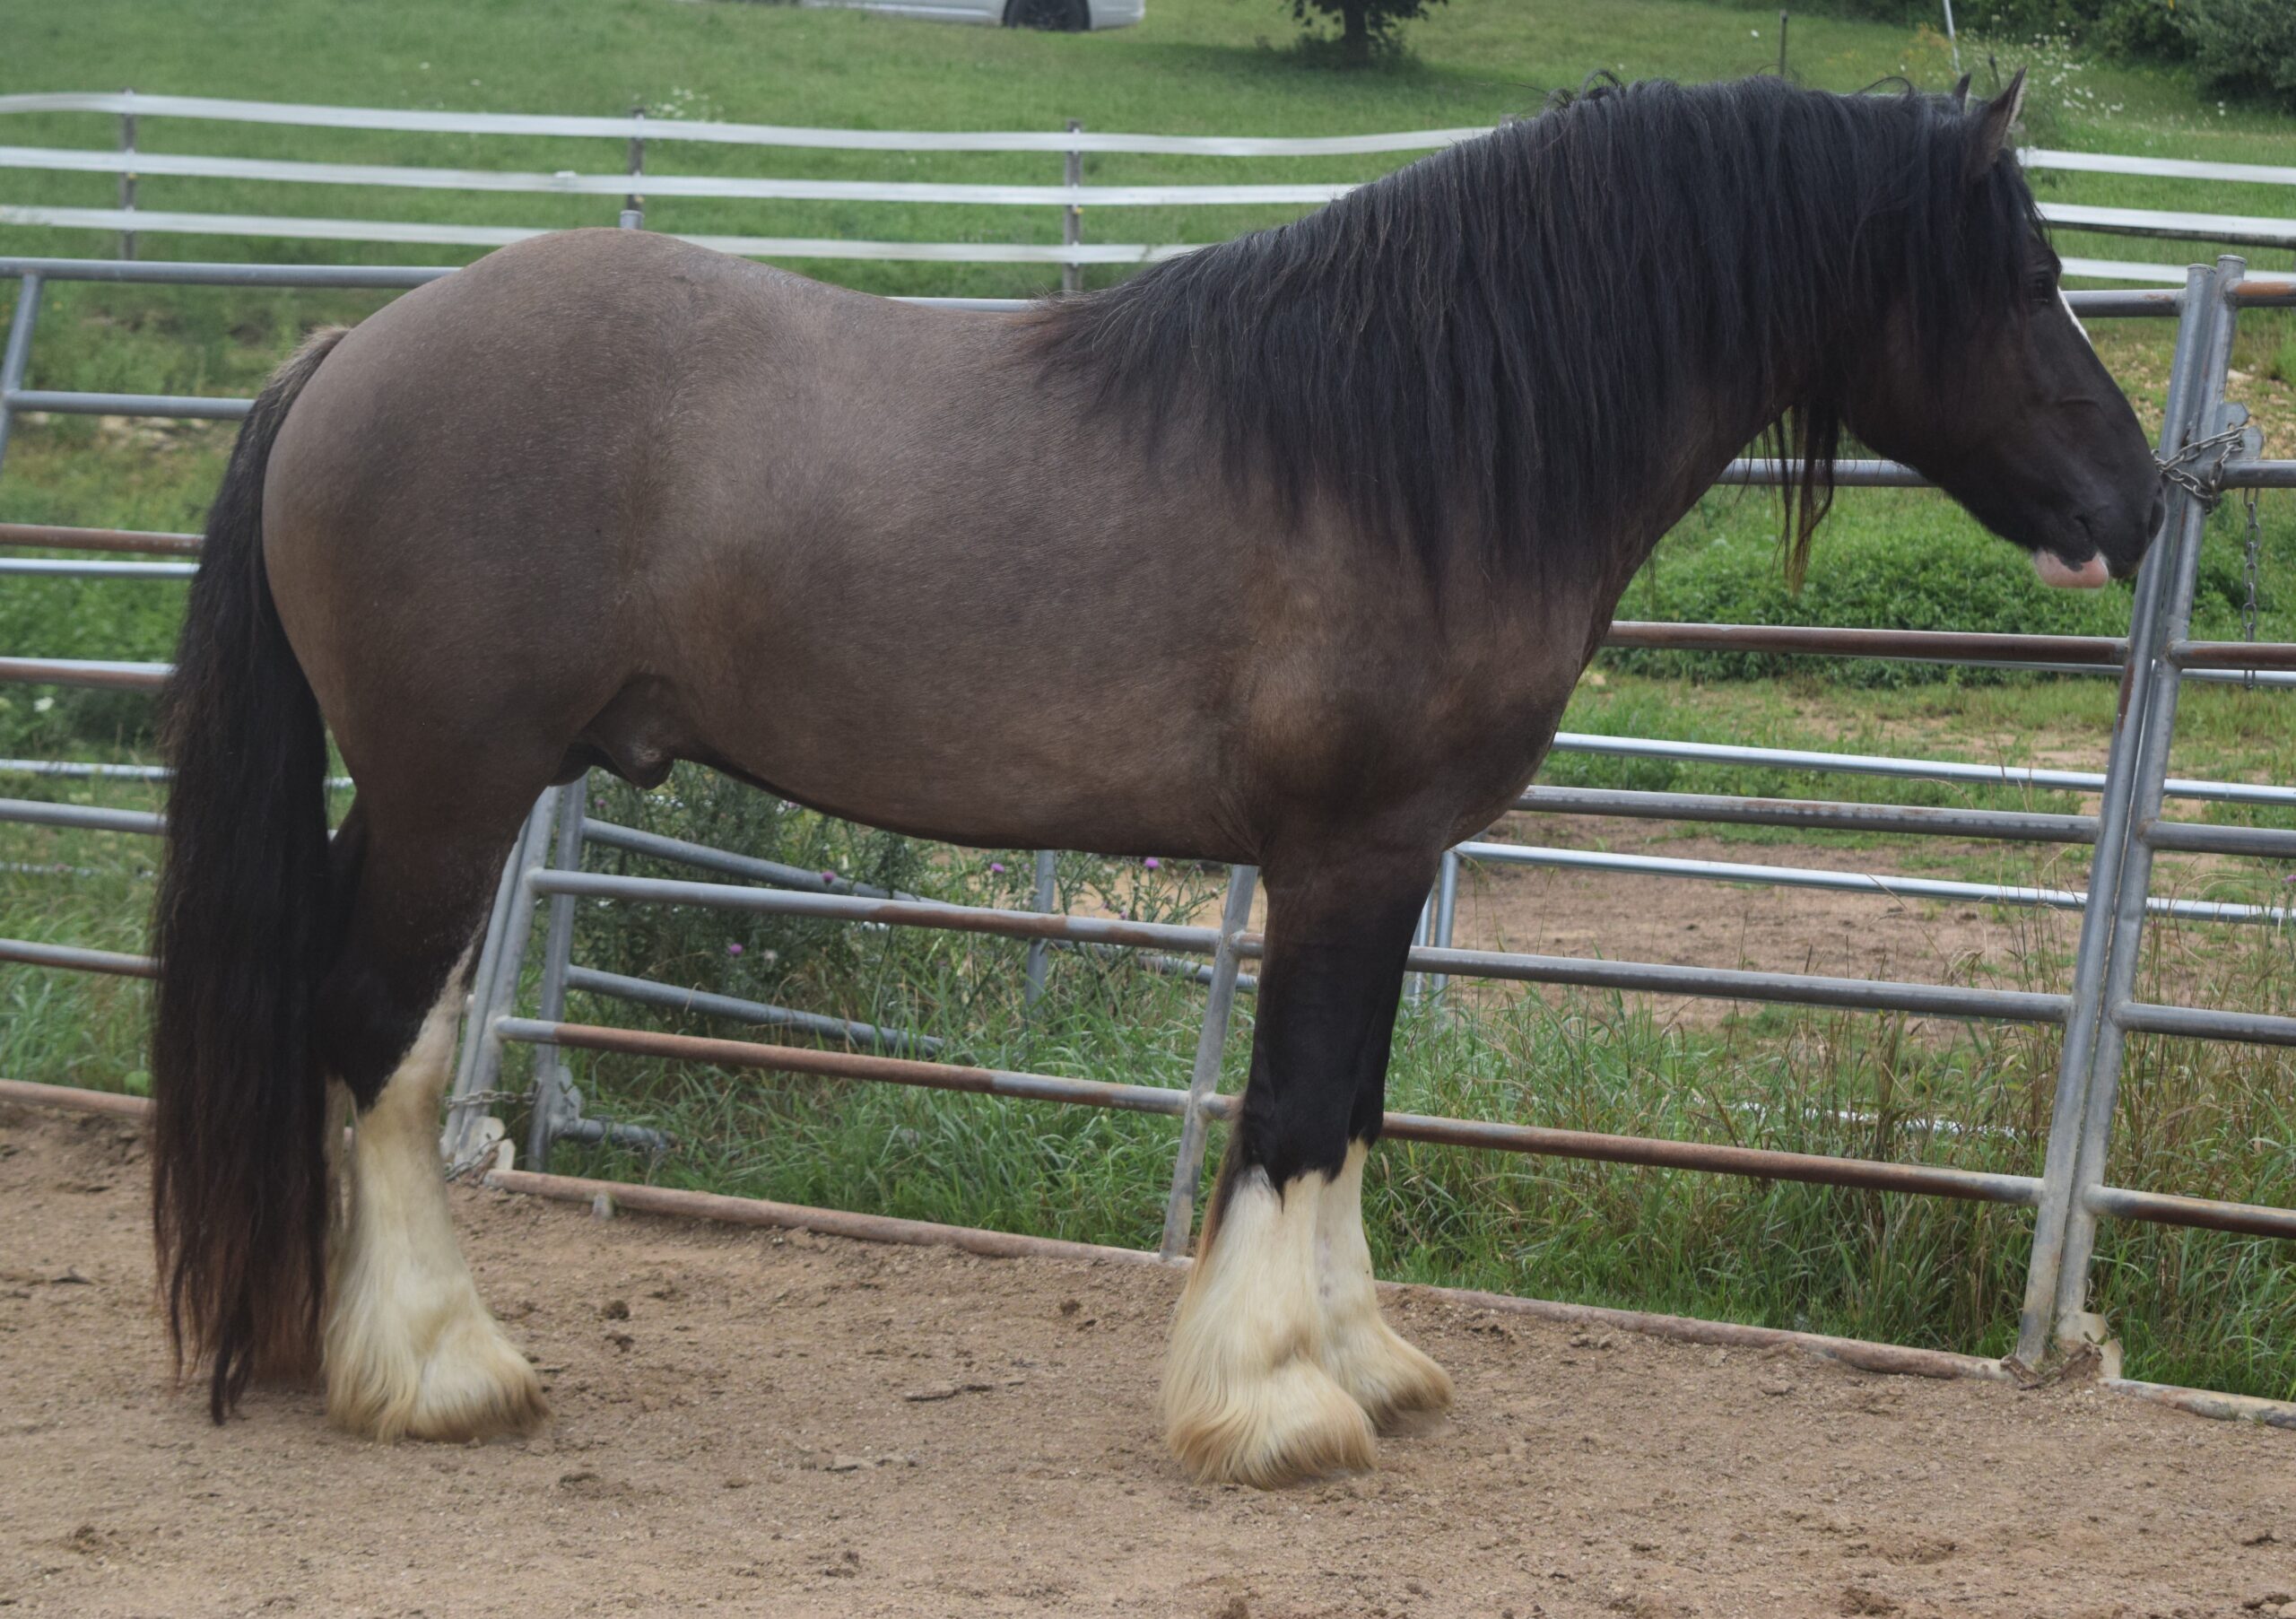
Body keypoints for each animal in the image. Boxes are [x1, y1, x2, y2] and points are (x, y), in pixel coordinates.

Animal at [148, 69, 2161, 1488]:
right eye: (2032, 283)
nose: (2138, 503)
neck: (1412, 446)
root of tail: (353, 344)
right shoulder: (1343, 853)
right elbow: (1294, 1110)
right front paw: (1272, 1404)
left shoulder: (1388, 866)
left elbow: (1355, 1106)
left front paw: (1363, 1364)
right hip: (454, 788)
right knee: (374, 1036)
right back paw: (436, 1367)